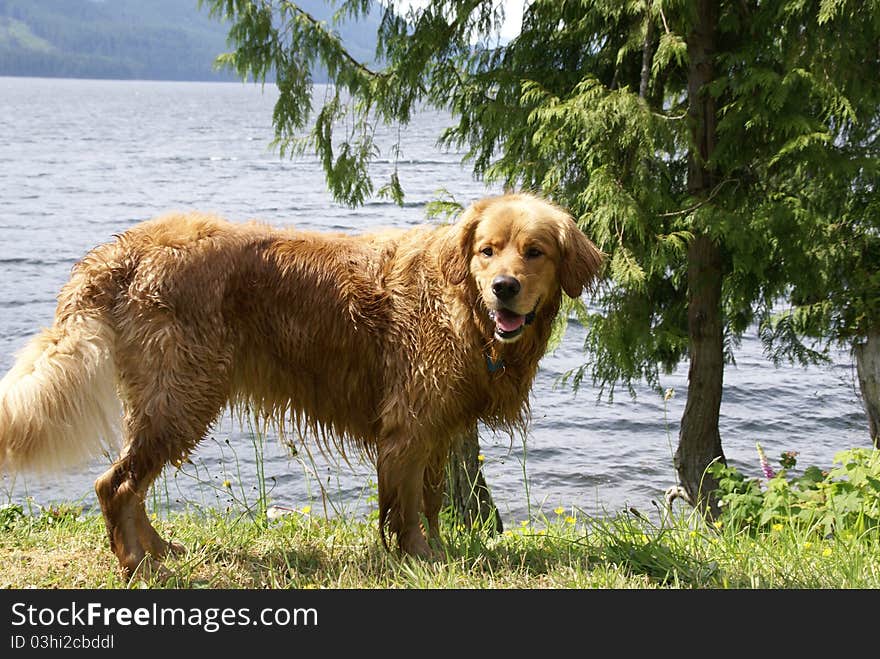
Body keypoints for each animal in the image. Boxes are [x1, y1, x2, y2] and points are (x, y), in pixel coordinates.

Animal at [0, 193, 600, 576]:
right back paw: (138, 565)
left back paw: (159, 550)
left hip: (169, 401)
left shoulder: (438, 428)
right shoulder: (408, 427)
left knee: (131, 485)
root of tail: (122, 249)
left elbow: (429, 501)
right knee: (116, 484)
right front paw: (418, 559)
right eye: (487, 250)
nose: (504, 288)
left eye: (534, 251)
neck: (463, 306)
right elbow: (406, 508)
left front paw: (437, 554)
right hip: (184, 396)